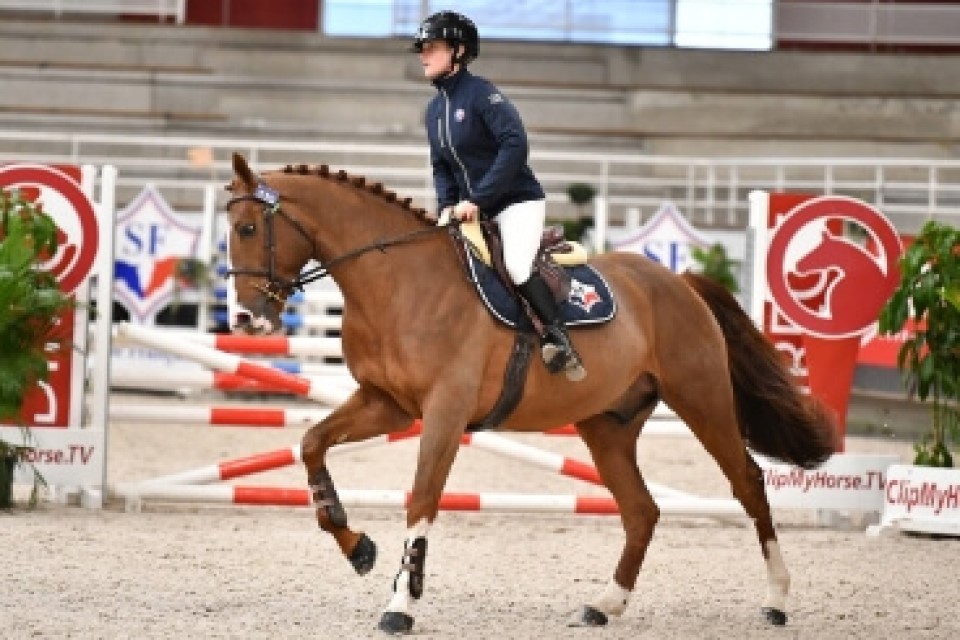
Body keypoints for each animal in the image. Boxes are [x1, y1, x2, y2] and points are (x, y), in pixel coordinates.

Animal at [223, 154, 832, 636]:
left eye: (249, 228)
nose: (248, 318)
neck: (397, 284)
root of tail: (679, 282)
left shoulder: (444, 413)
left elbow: (422, 500)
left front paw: (401, 604)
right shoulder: (386, 403)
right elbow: (312, 444)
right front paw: (358, 547)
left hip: (703, 401)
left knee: (747, 483)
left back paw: (776, 599)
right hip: (607, 426)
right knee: (642, 509)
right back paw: (606, 604)